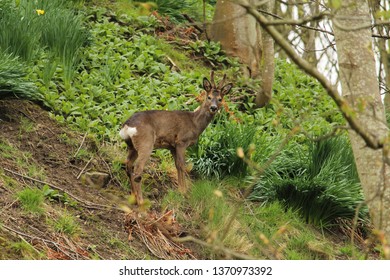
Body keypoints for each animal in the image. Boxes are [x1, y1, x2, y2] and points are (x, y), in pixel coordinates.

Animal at [119, 71, 233, 205]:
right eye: (209, 97)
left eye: (220, 99)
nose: (213, 108)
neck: (194, 123)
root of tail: (127, 125)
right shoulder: (181, 141)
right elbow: (183, 166)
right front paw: (184, 192)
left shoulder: (172, 146)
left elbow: (177, 165)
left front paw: (180, 190)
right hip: (146, 142)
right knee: (137, 169)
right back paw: (141, 201)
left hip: (132, 146)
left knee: (128, 165)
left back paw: (133, 196)